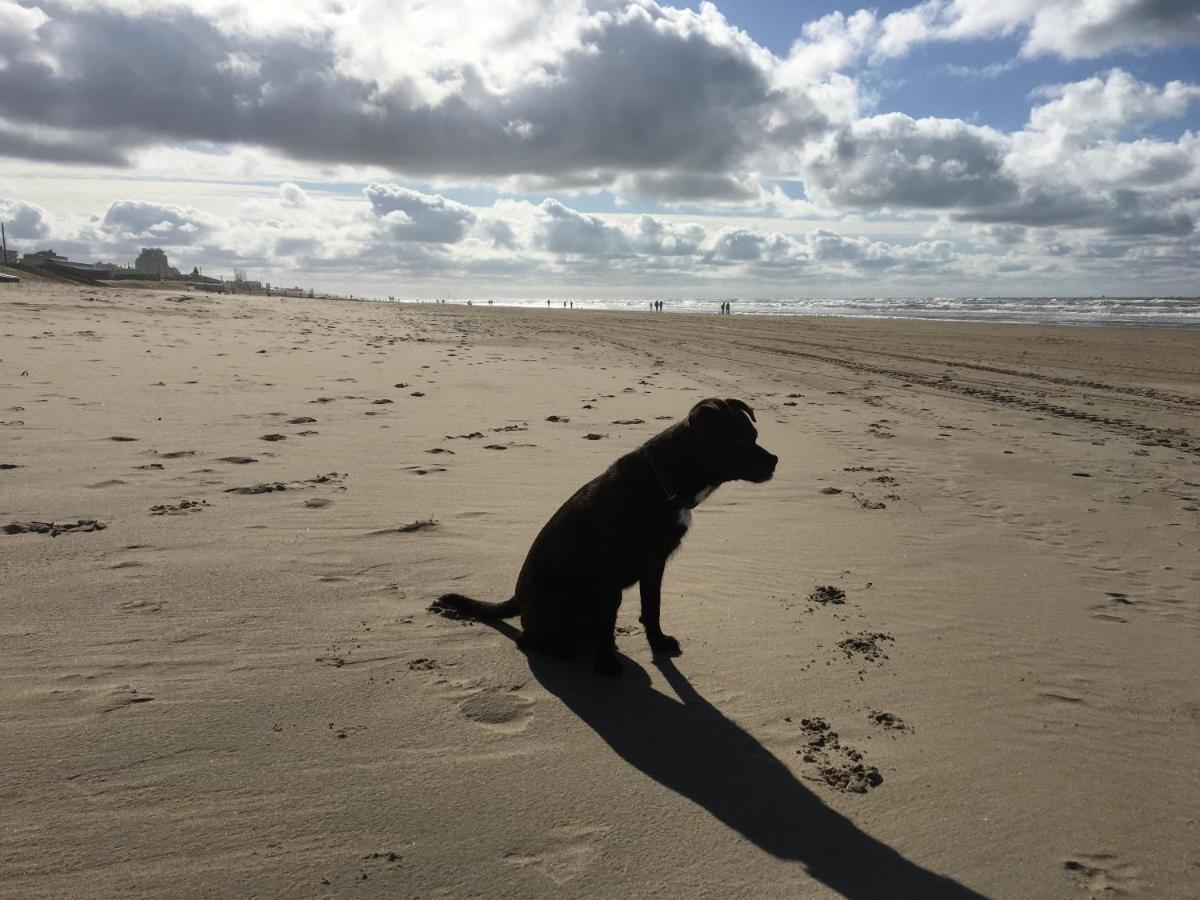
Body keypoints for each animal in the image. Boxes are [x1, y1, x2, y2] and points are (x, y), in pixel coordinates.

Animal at [432, 398, 777, 672]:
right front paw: (606, 664)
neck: (664, 481)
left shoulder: (655, 564)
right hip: (560, 598)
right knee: (529, 638)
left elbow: (652, 607)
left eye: (755, 436)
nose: (775, 460)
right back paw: (563, 647)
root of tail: (517, 598)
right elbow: (609, 620)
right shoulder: (610, 572)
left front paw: (658, 641)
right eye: (737, 441)